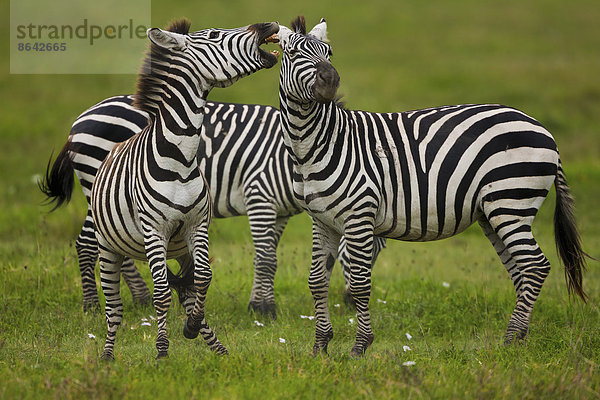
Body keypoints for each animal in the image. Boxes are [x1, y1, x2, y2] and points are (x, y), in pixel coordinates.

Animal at [42, 18, 282, 360]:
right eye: (214, 35)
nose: (269, 24)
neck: (180, 158)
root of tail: (78, 123)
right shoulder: (155, 229)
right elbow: (163, 292)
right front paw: (162, 350)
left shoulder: (197, 225)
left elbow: (202, 278)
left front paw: (192, 327)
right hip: (104, 218)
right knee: (98, 260)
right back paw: (96, 316)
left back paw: (213, 344)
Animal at [43, 94, 390, 316]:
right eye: (358, 253)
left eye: (376, 255)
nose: (351, 303)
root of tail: (83, 117)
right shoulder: (259, 195)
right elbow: (267, 259)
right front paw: (265, 310)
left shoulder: (278, 212)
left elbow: (266, 257)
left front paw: (256, 304)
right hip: (105, 190)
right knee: (88, 243)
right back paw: (91, 307)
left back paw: (139, 298)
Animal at [278, 17, 592, 358]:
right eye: (293, 53)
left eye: (329, 53)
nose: (331, 80)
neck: (318, 144)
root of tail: (542, 129)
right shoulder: (322, 220)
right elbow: (316, 281)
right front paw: (320, 347)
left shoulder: (359, 215)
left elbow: (360, 283)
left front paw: (360, 347)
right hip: (493, 212)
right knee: (521, 269)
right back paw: (517, 339)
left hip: (510, 202)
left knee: (535, 265)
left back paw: (511, 339)